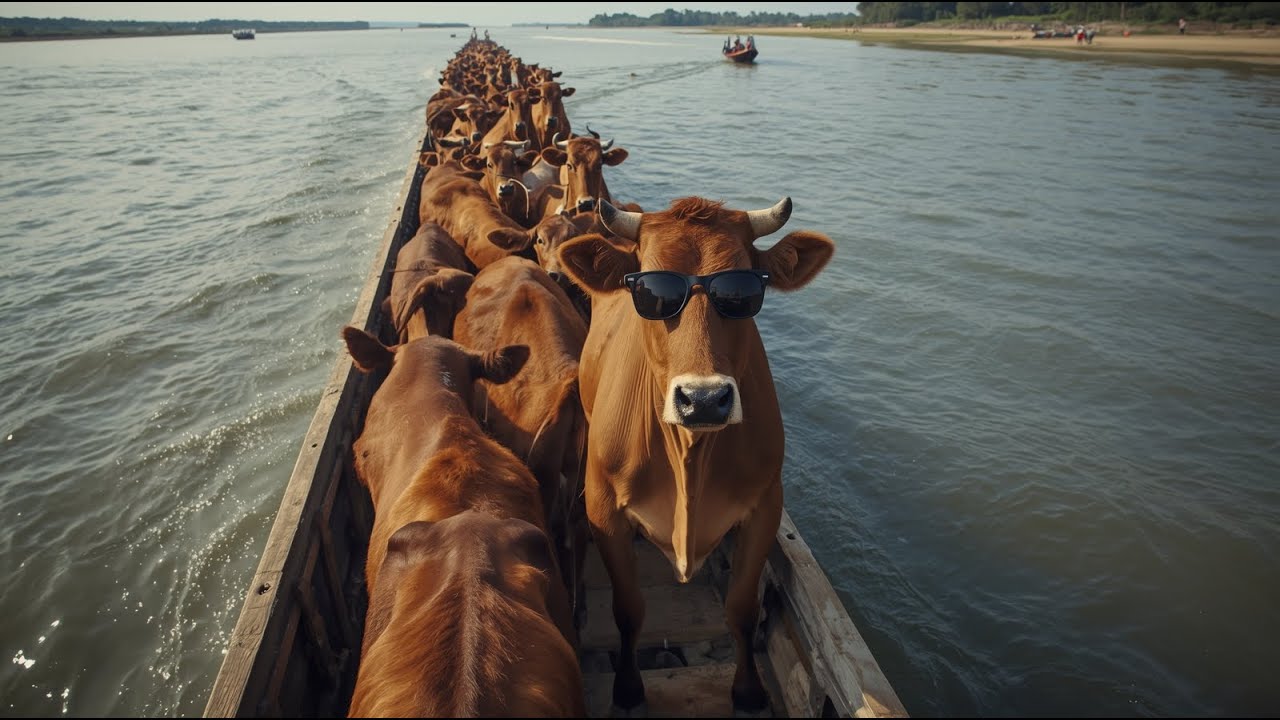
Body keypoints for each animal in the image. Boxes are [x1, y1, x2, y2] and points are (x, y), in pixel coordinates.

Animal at [555, 196, 834, 714]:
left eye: (744, 290)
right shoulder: (604, 507)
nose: (703, 399)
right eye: (650, 288)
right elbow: (628, 610)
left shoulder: (766, 506)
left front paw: (748, 691)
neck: (689, 458)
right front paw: (628, 688)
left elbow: (742, 608)